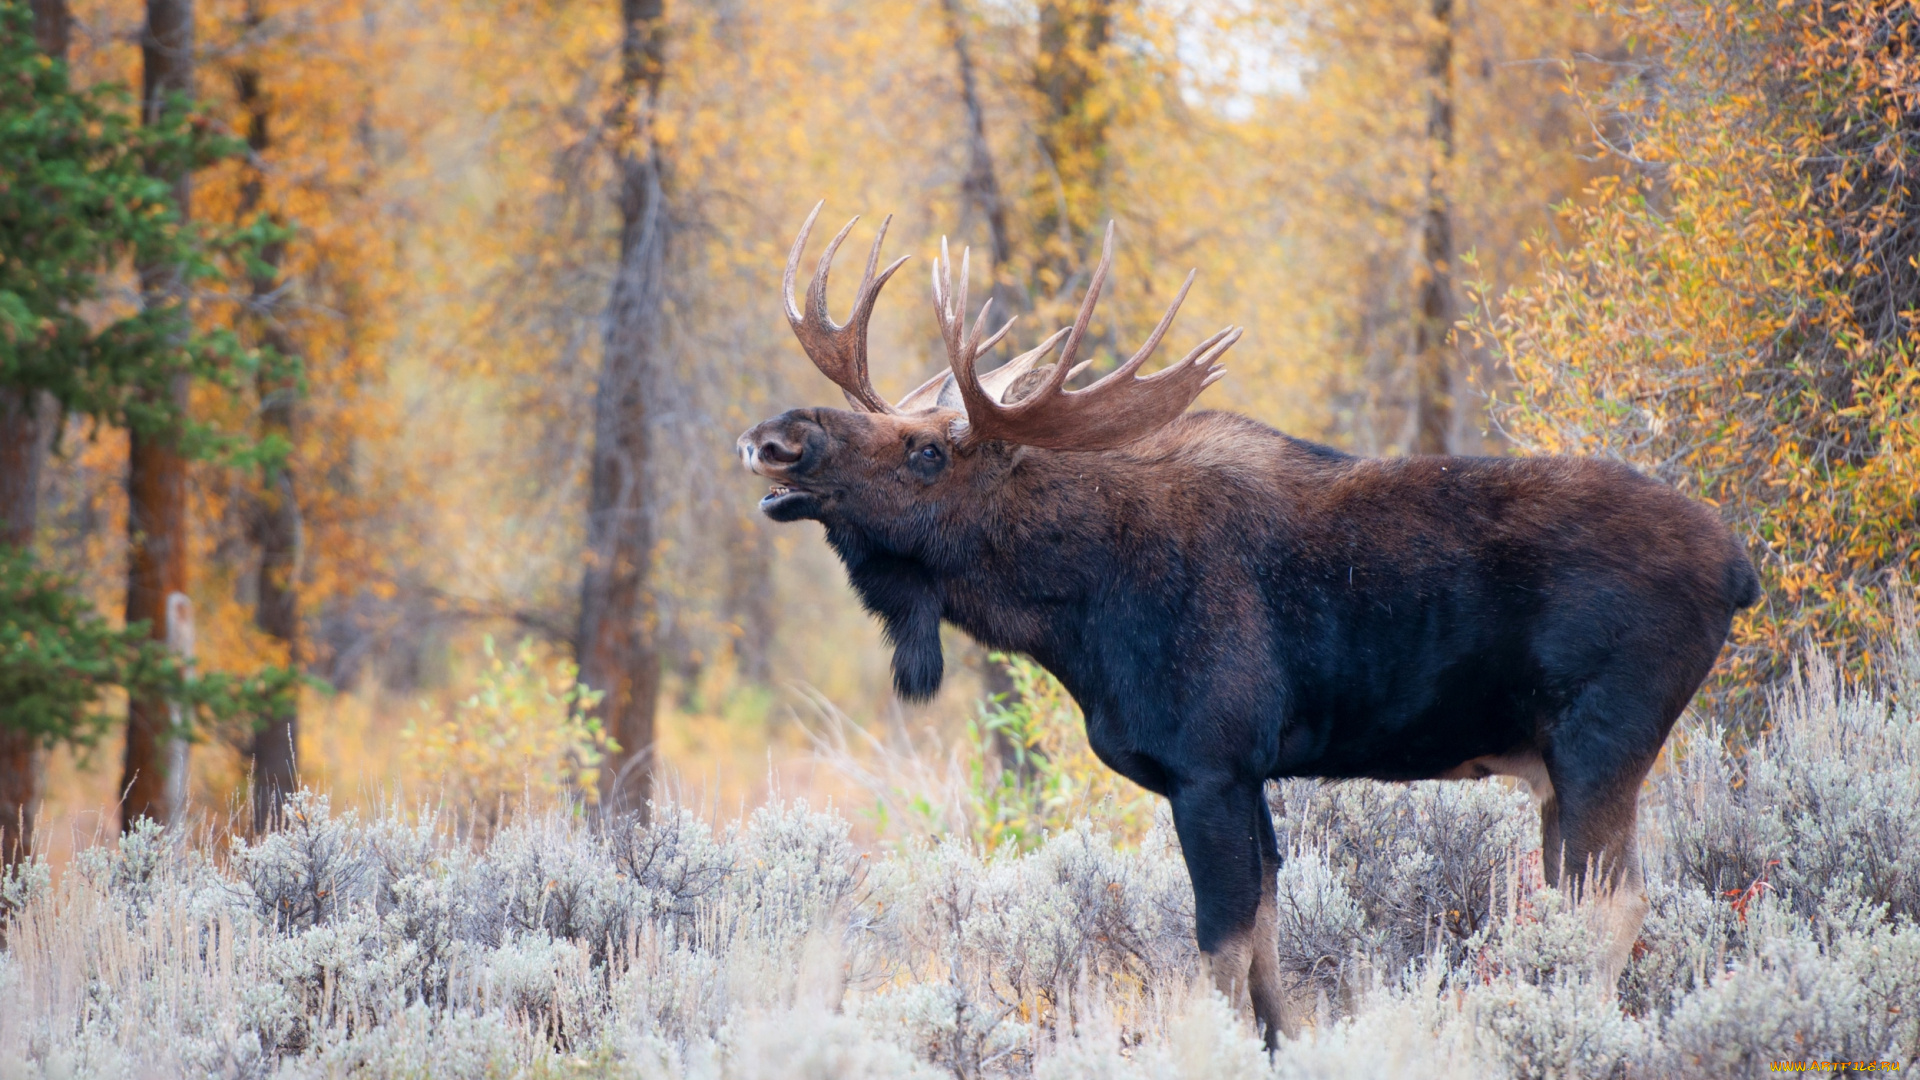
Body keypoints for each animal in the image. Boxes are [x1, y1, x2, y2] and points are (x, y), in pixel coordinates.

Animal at [733, 203, 1758, 1045]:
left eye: (926, 452)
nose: (775, 437)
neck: (1077, 615)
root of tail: (1741, 570)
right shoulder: (1247, 774)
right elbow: (1267, 958)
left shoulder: (1211, 762)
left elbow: (1219, 955)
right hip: (1559, 765)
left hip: (1601, 741)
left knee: (1613, 908)